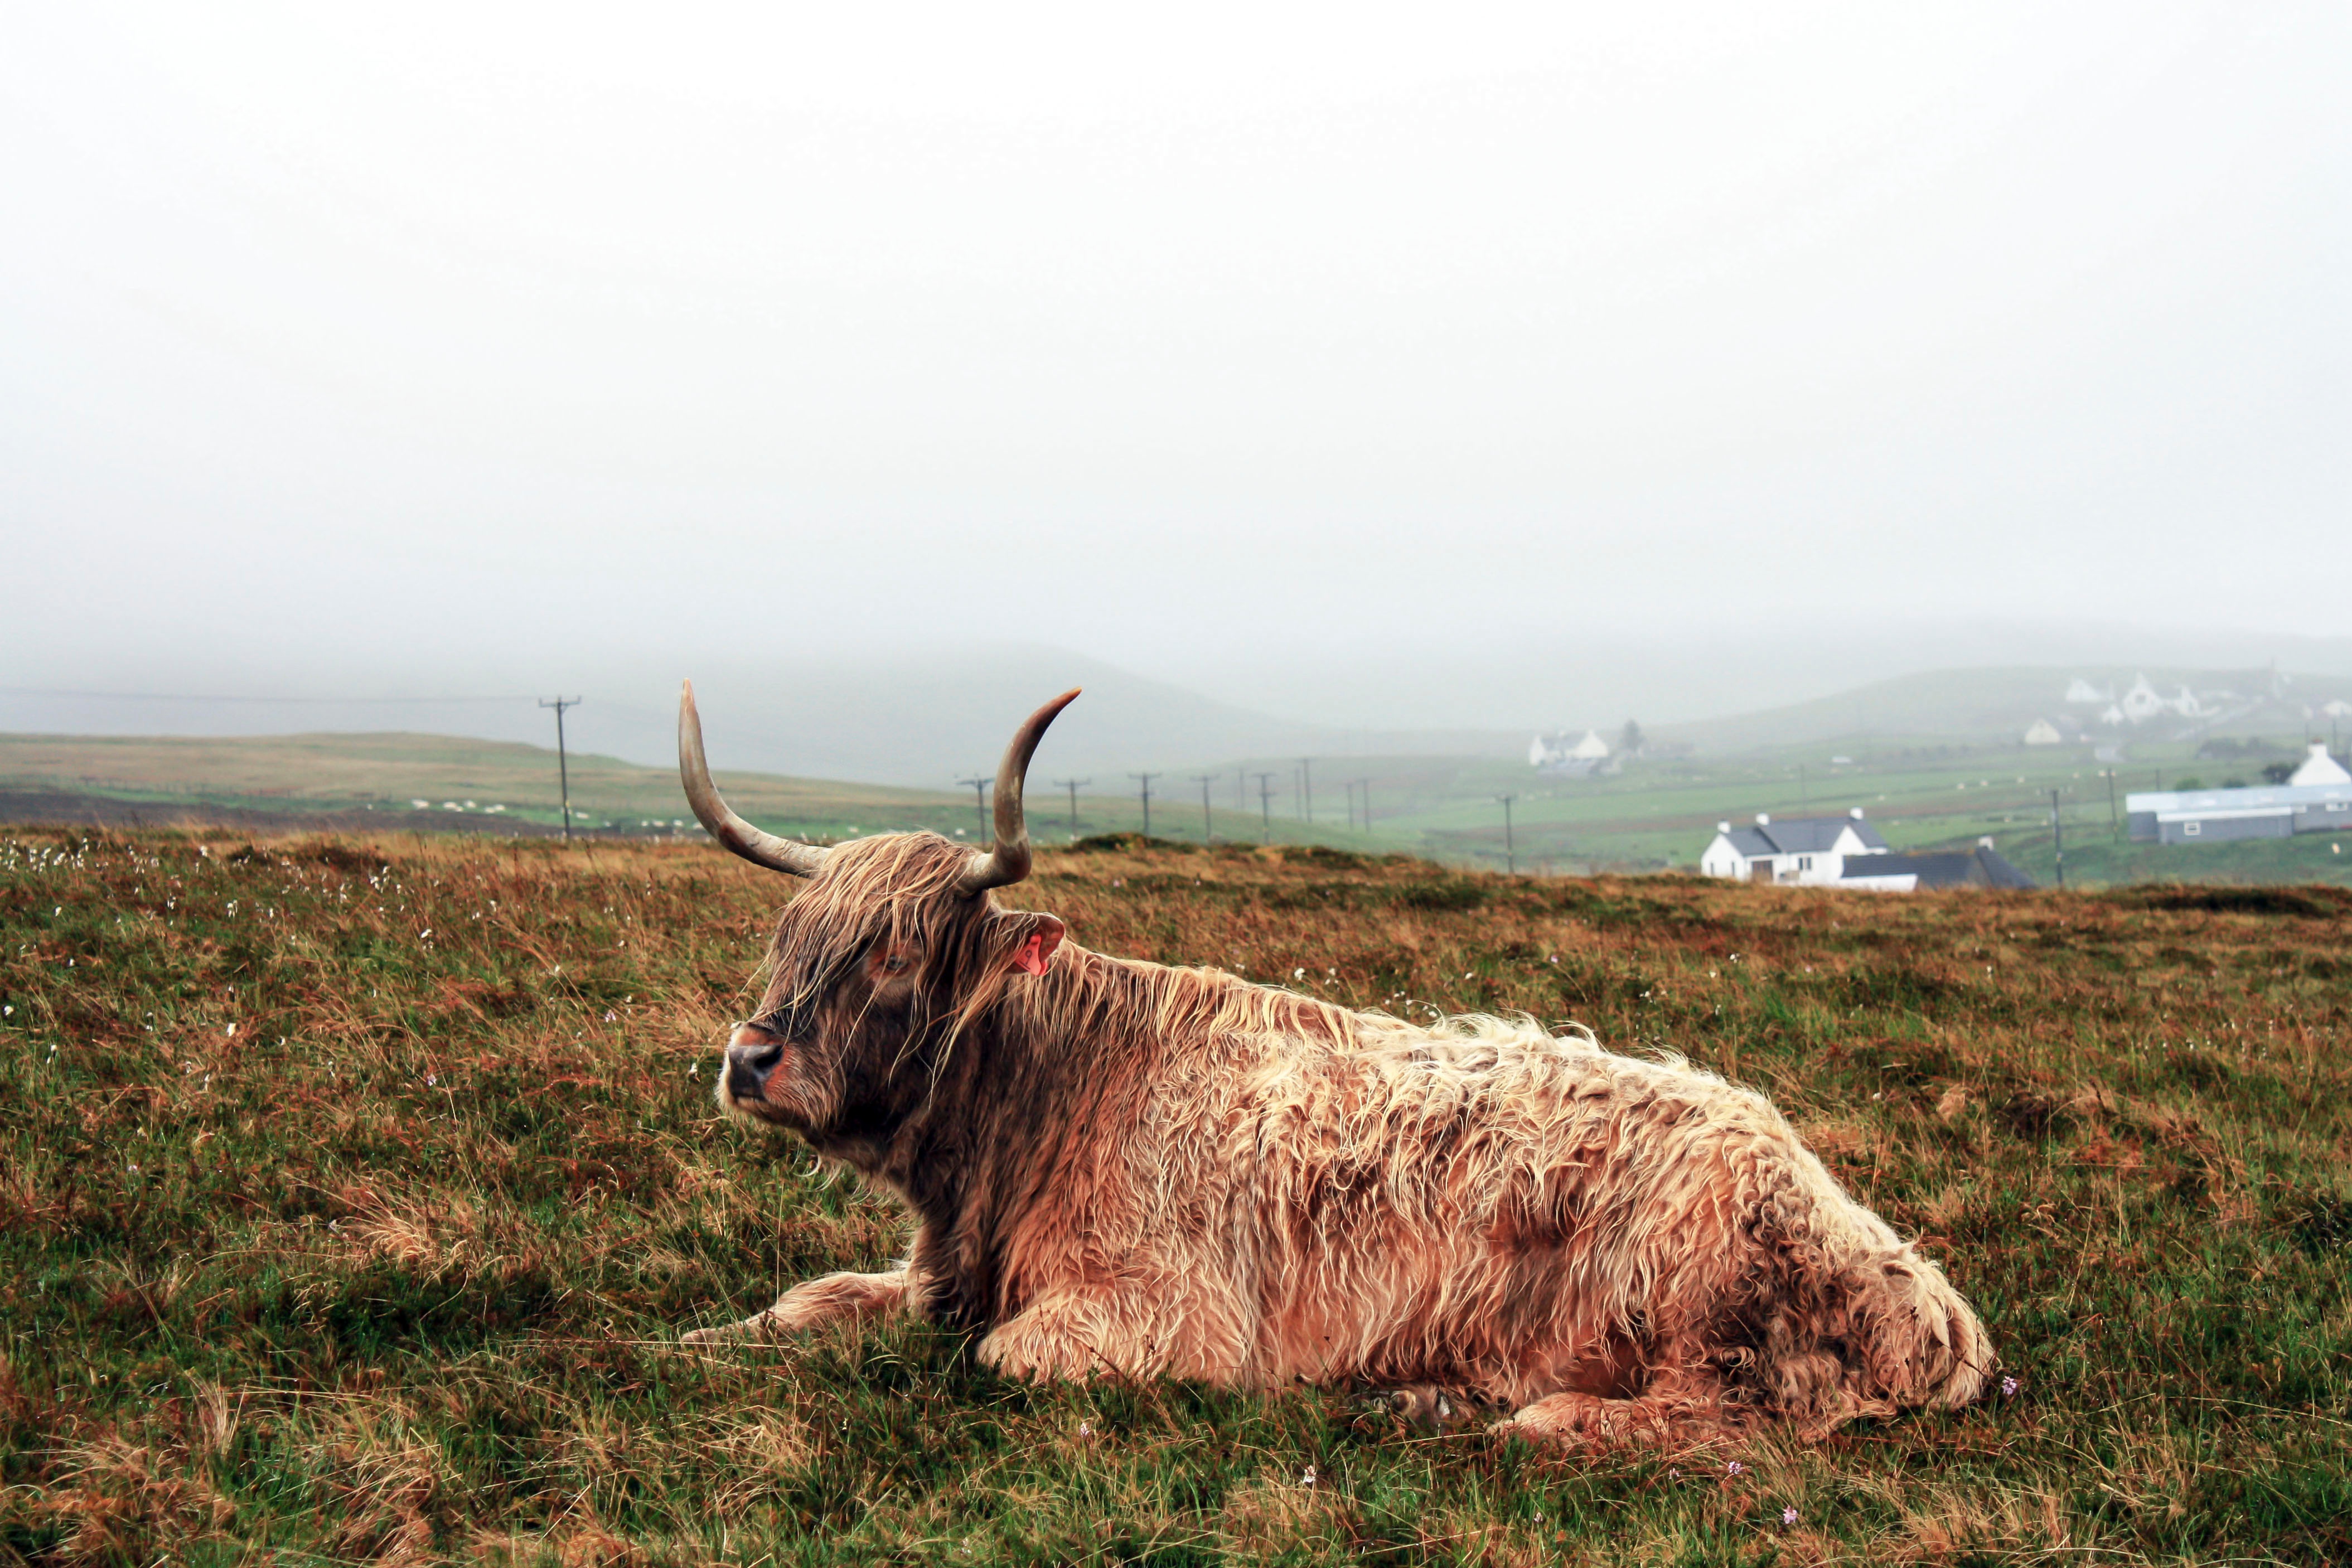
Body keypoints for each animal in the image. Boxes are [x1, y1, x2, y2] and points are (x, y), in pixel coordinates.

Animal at [677, 681, 1985, 1439]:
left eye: (896, 953)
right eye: (790, 934)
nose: (750, 1057)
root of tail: (1922, 1288)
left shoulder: (1162, 1315)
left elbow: (998, 1355)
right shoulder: (939, 1272)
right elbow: (808, 1301)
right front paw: (698, 1342)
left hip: (1703, 1319)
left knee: (1705, 1421)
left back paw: (1490, 1412)